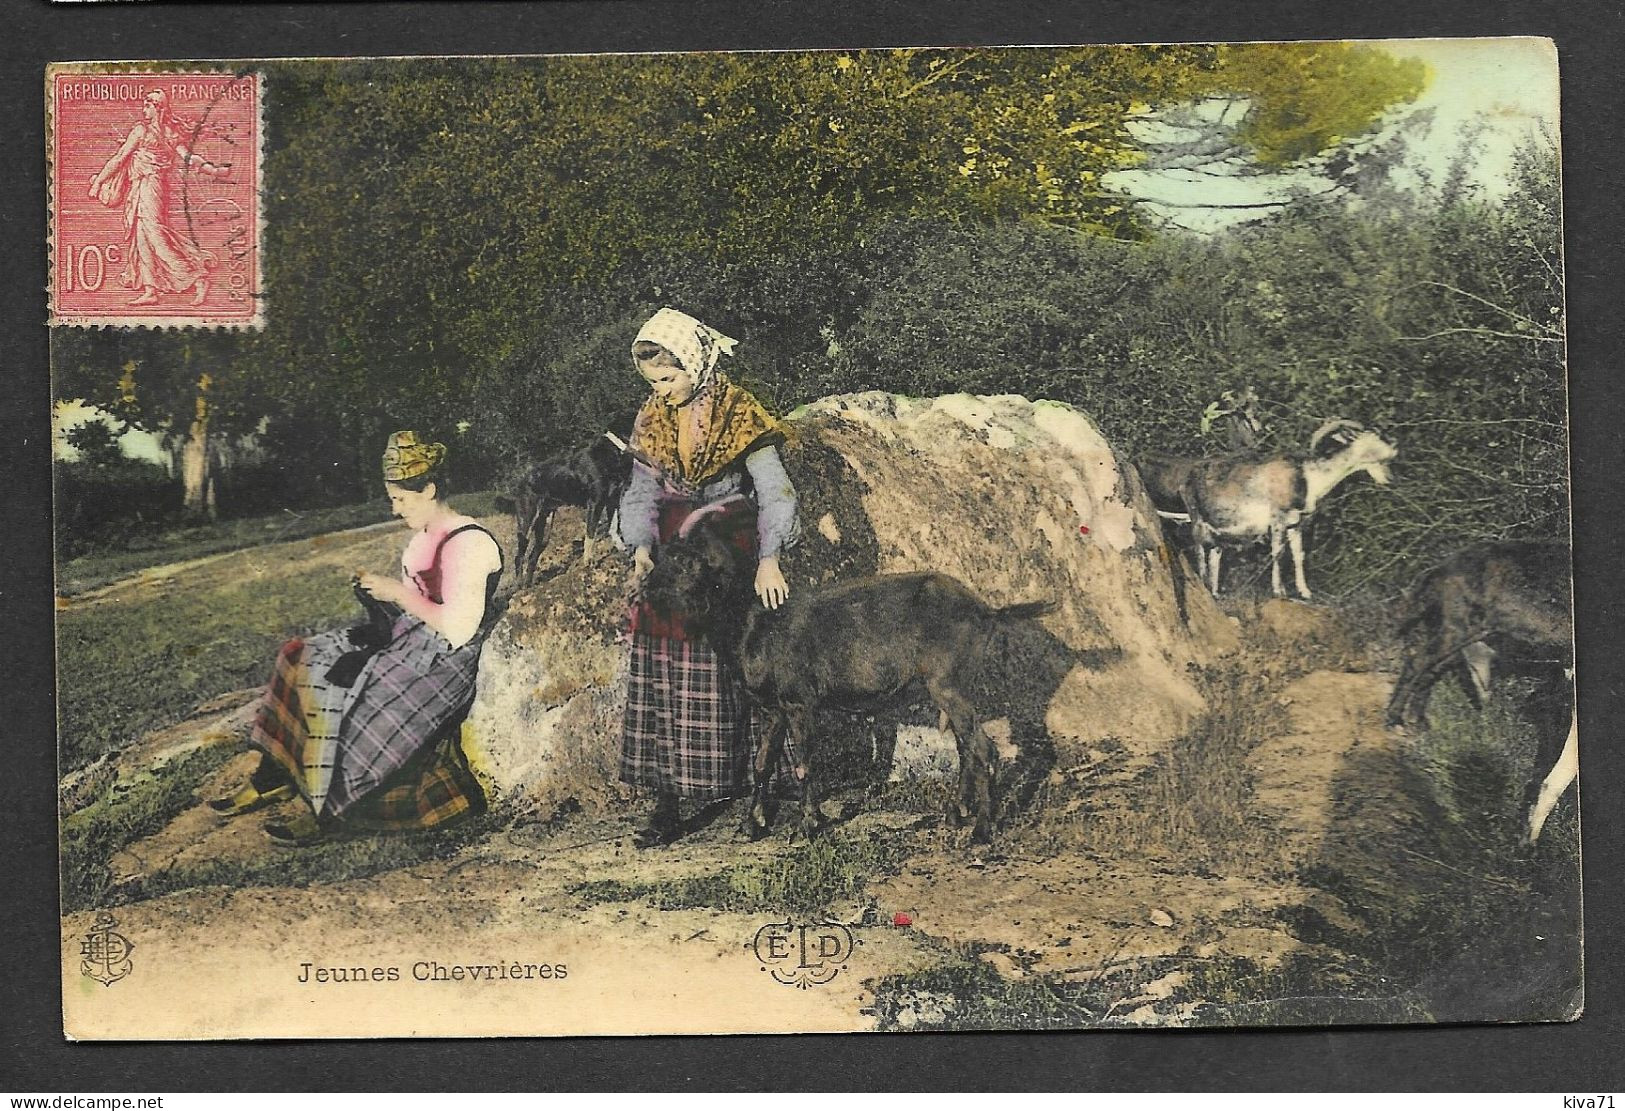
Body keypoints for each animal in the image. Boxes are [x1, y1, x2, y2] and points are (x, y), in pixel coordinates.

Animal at [500, 435, 633, 584]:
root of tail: (520, 482)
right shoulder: (595, 503)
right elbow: (590, 536)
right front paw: (589, 562)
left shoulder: (613, 500)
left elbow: (615, 529)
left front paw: (624, 550)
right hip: (527, 522)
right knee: (519, 557)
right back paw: (519, 584)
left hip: (544, 532)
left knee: (532, 558)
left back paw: (528, 585)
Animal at [646, 513, 1053, 844]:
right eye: (661, 556)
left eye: (684, 560)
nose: (647, 590)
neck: (754, 621)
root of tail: (986, 611)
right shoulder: (772, 709)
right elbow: (762, 764)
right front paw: (750, 826)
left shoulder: (799, 702)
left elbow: (805, 763)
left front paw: (808, 825)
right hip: (949, 690)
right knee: (967, 748)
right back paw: (957, 814)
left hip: (948, 685)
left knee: (984, 749)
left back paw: (982, 830)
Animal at [1384, 539, 1573, 844]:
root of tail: (1442, 567)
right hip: (1456, 629)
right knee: (1417, 662)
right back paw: (1394, 718)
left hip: (1467, 635)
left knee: (1431, 671)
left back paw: (1419, 722)